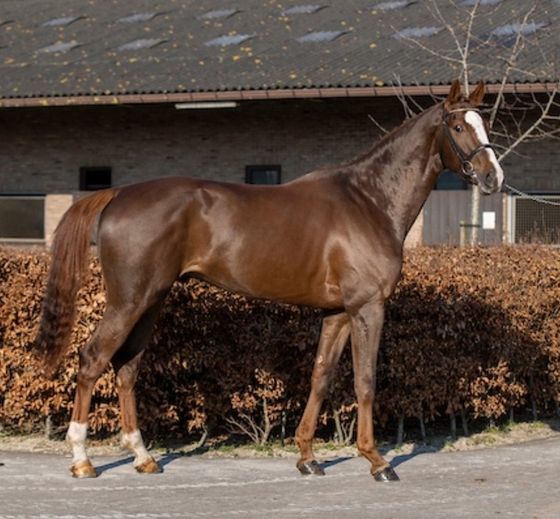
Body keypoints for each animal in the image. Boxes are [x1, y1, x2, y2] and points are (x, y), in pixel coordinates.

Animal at [36, 79, 504, 482]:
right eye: (459, 126)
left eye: (486, 124)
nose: (493, 177)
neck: (369, 200)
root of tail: (117, 194)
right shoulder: (366, 307)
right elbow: (365, 381)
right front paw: (377, 461)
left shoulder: (337, 312)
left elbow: (320, 377)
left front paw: (307, 457)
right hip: (128, 301)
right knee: (92, 359)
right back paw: (82, 460)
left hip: (150, 300)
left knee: (127, 367)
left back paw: (142, 456)